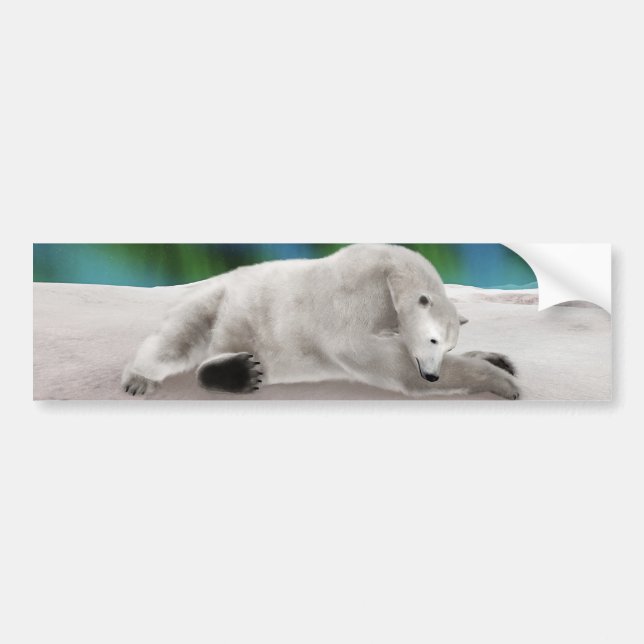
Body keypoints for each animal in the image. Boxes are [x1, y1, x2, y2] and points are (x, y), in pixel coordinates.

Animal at [122, 244, 520, 399]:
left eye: (448, 344)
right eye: (434, 339)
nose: (432, 375)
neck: (389, 276)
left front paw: (498, 359)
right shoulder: (353, 300)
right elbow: (389, 363)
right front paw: (504, 382)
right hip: (218, 299)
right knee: (177, 339)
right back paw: (141, 378)